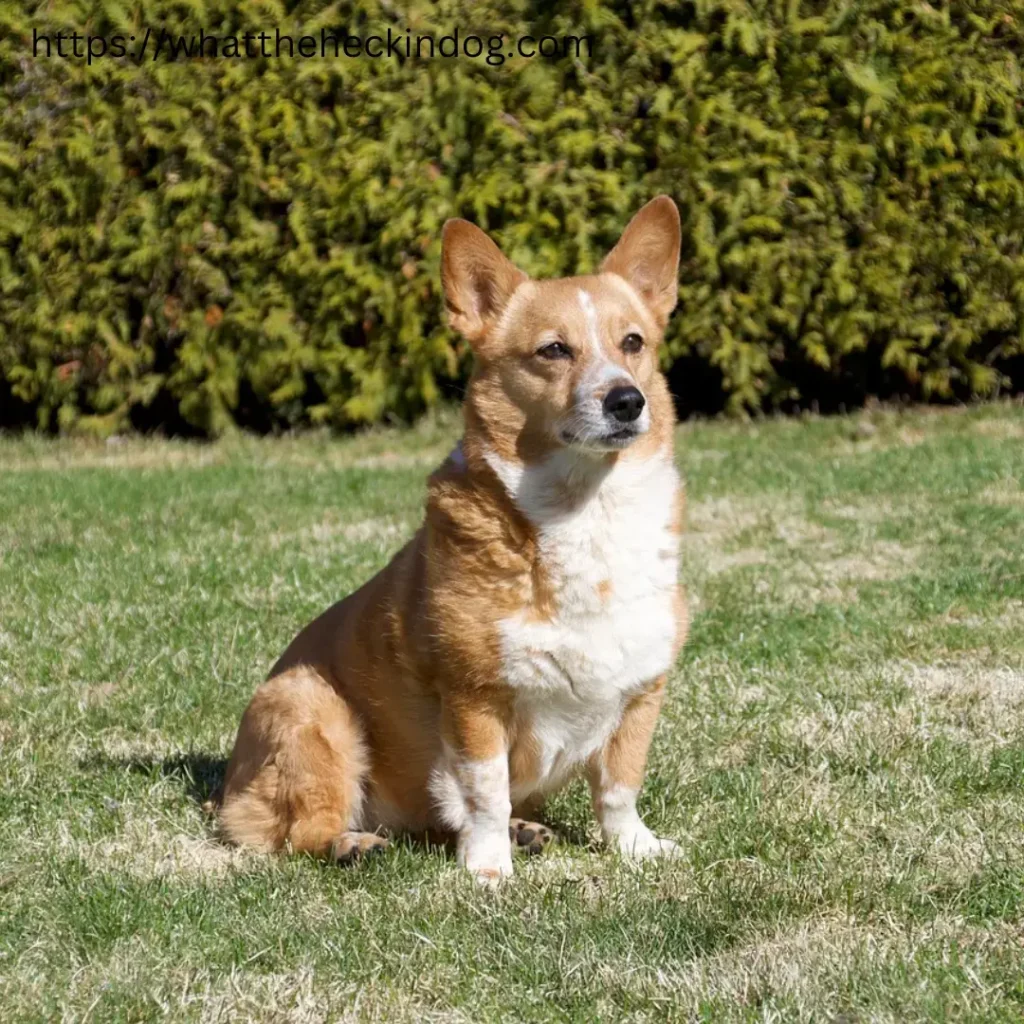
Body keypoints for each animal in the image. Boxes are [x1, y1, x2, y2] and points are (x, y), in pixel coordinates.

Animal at [216, 195, 688, 884]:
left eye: (634, 343)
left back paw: (524, 831)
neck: (584, 510)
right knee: (296, 830)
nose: (627, 401)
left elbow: (620, 785)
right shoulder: (474, 698)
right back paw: (354, 845)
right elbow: (485, 789)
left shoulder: (640, 690)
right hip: (312, 712)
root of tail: (226, 784)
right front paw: (488, 868)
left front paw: (636, 849)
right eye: (553, 350)